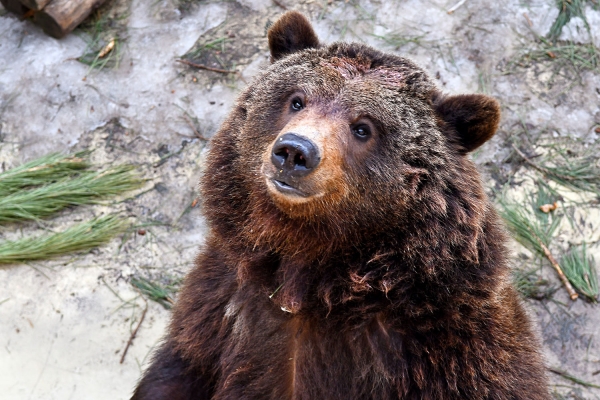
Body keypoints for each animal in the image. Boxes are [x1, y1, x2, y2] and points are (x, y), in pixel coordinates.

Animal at [134, 10, 552, 398]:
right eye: (297, 100)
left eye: (363, 127)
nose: (294, 151)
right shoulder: (218, 313)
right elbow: (176, 371)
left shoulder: (451, 353)